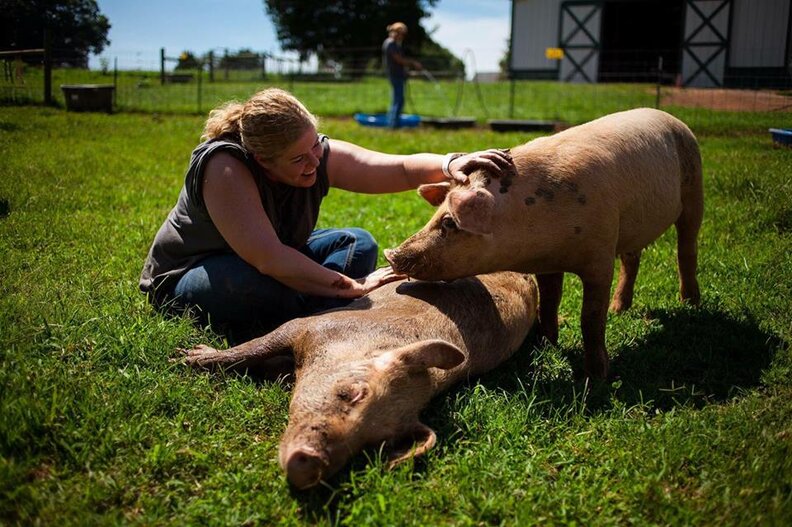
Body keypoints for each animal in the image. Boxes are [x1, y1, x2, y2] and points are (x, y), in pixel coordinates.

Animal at [182, 271, 538, 489]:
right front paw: (187, 357)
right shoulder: (313, 325)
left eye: (373, 443)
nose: (310, 466)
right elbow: (254, 346)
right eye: (352, 393)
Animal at [385, 108, 703, 380]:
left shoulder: (600, 254)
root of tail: (669, 116)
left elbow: (590, 317)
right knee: (632, 258)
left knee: (686, 248)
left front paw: (596, 377)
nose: (392, 254)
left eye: (449, 222)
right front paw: (548, 344)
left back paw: (690, 305)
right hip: (633, 225)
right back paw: (619, 309)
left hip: (693, 184)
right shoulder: (548, 263)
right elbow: (549, 301)